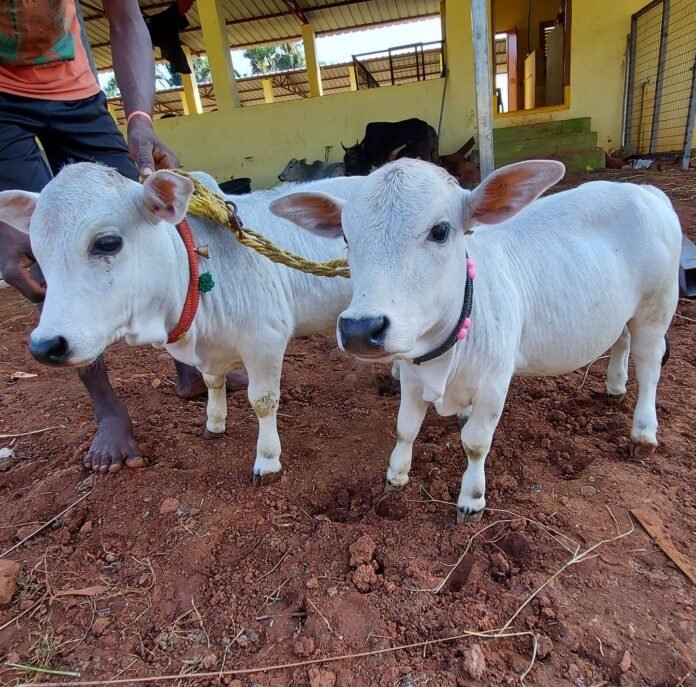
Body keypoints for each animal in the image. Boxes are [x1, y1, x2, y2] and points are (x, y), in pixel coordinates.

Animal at [0, 163, 365, 485]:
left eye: (107, 243)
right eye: (38, 251)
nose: (46, 345)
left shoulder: (265, 340)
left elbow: (262, 401)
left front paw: (267, 460)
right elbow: (212, 382)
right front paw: (214, 423)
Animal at [270, 158, 681, 523]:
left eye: (440, 231)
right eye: (345, 236)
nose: (360, 329)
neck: (441, 351)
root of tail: (645, 191)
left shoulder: (494, 383)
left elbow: (476, 442)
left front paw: (471, 497)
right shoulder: (411, 378)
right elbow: (405, 428)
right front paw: (396, 475)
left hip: (657, 305)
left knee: (649, 364)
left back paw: (643, 432)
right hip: (626, 311)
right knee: (621, 341)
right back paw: (614, 386)